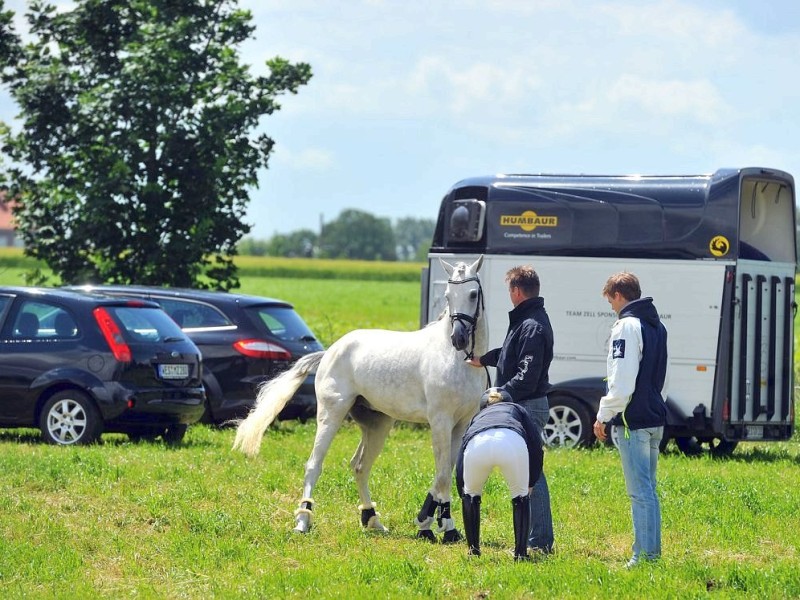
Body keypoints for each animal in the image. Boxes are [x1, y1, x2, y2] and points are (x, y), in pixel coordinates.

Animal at [231, 255, 488, 540]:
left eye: (473, 294)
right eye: (447, 295)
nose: (458, 338)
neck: (455, 360)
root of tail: (329, 351)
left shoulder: (461, 424)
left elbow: (447, 472)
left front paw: (440, 526)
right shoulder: (440, 421)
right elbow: (442, 474)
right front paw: (432, 526)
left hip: (377, 424)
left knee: (360, 466)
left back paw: (371, 519)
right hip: (331, 415)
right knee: (314, 465)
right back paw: (303, 522)